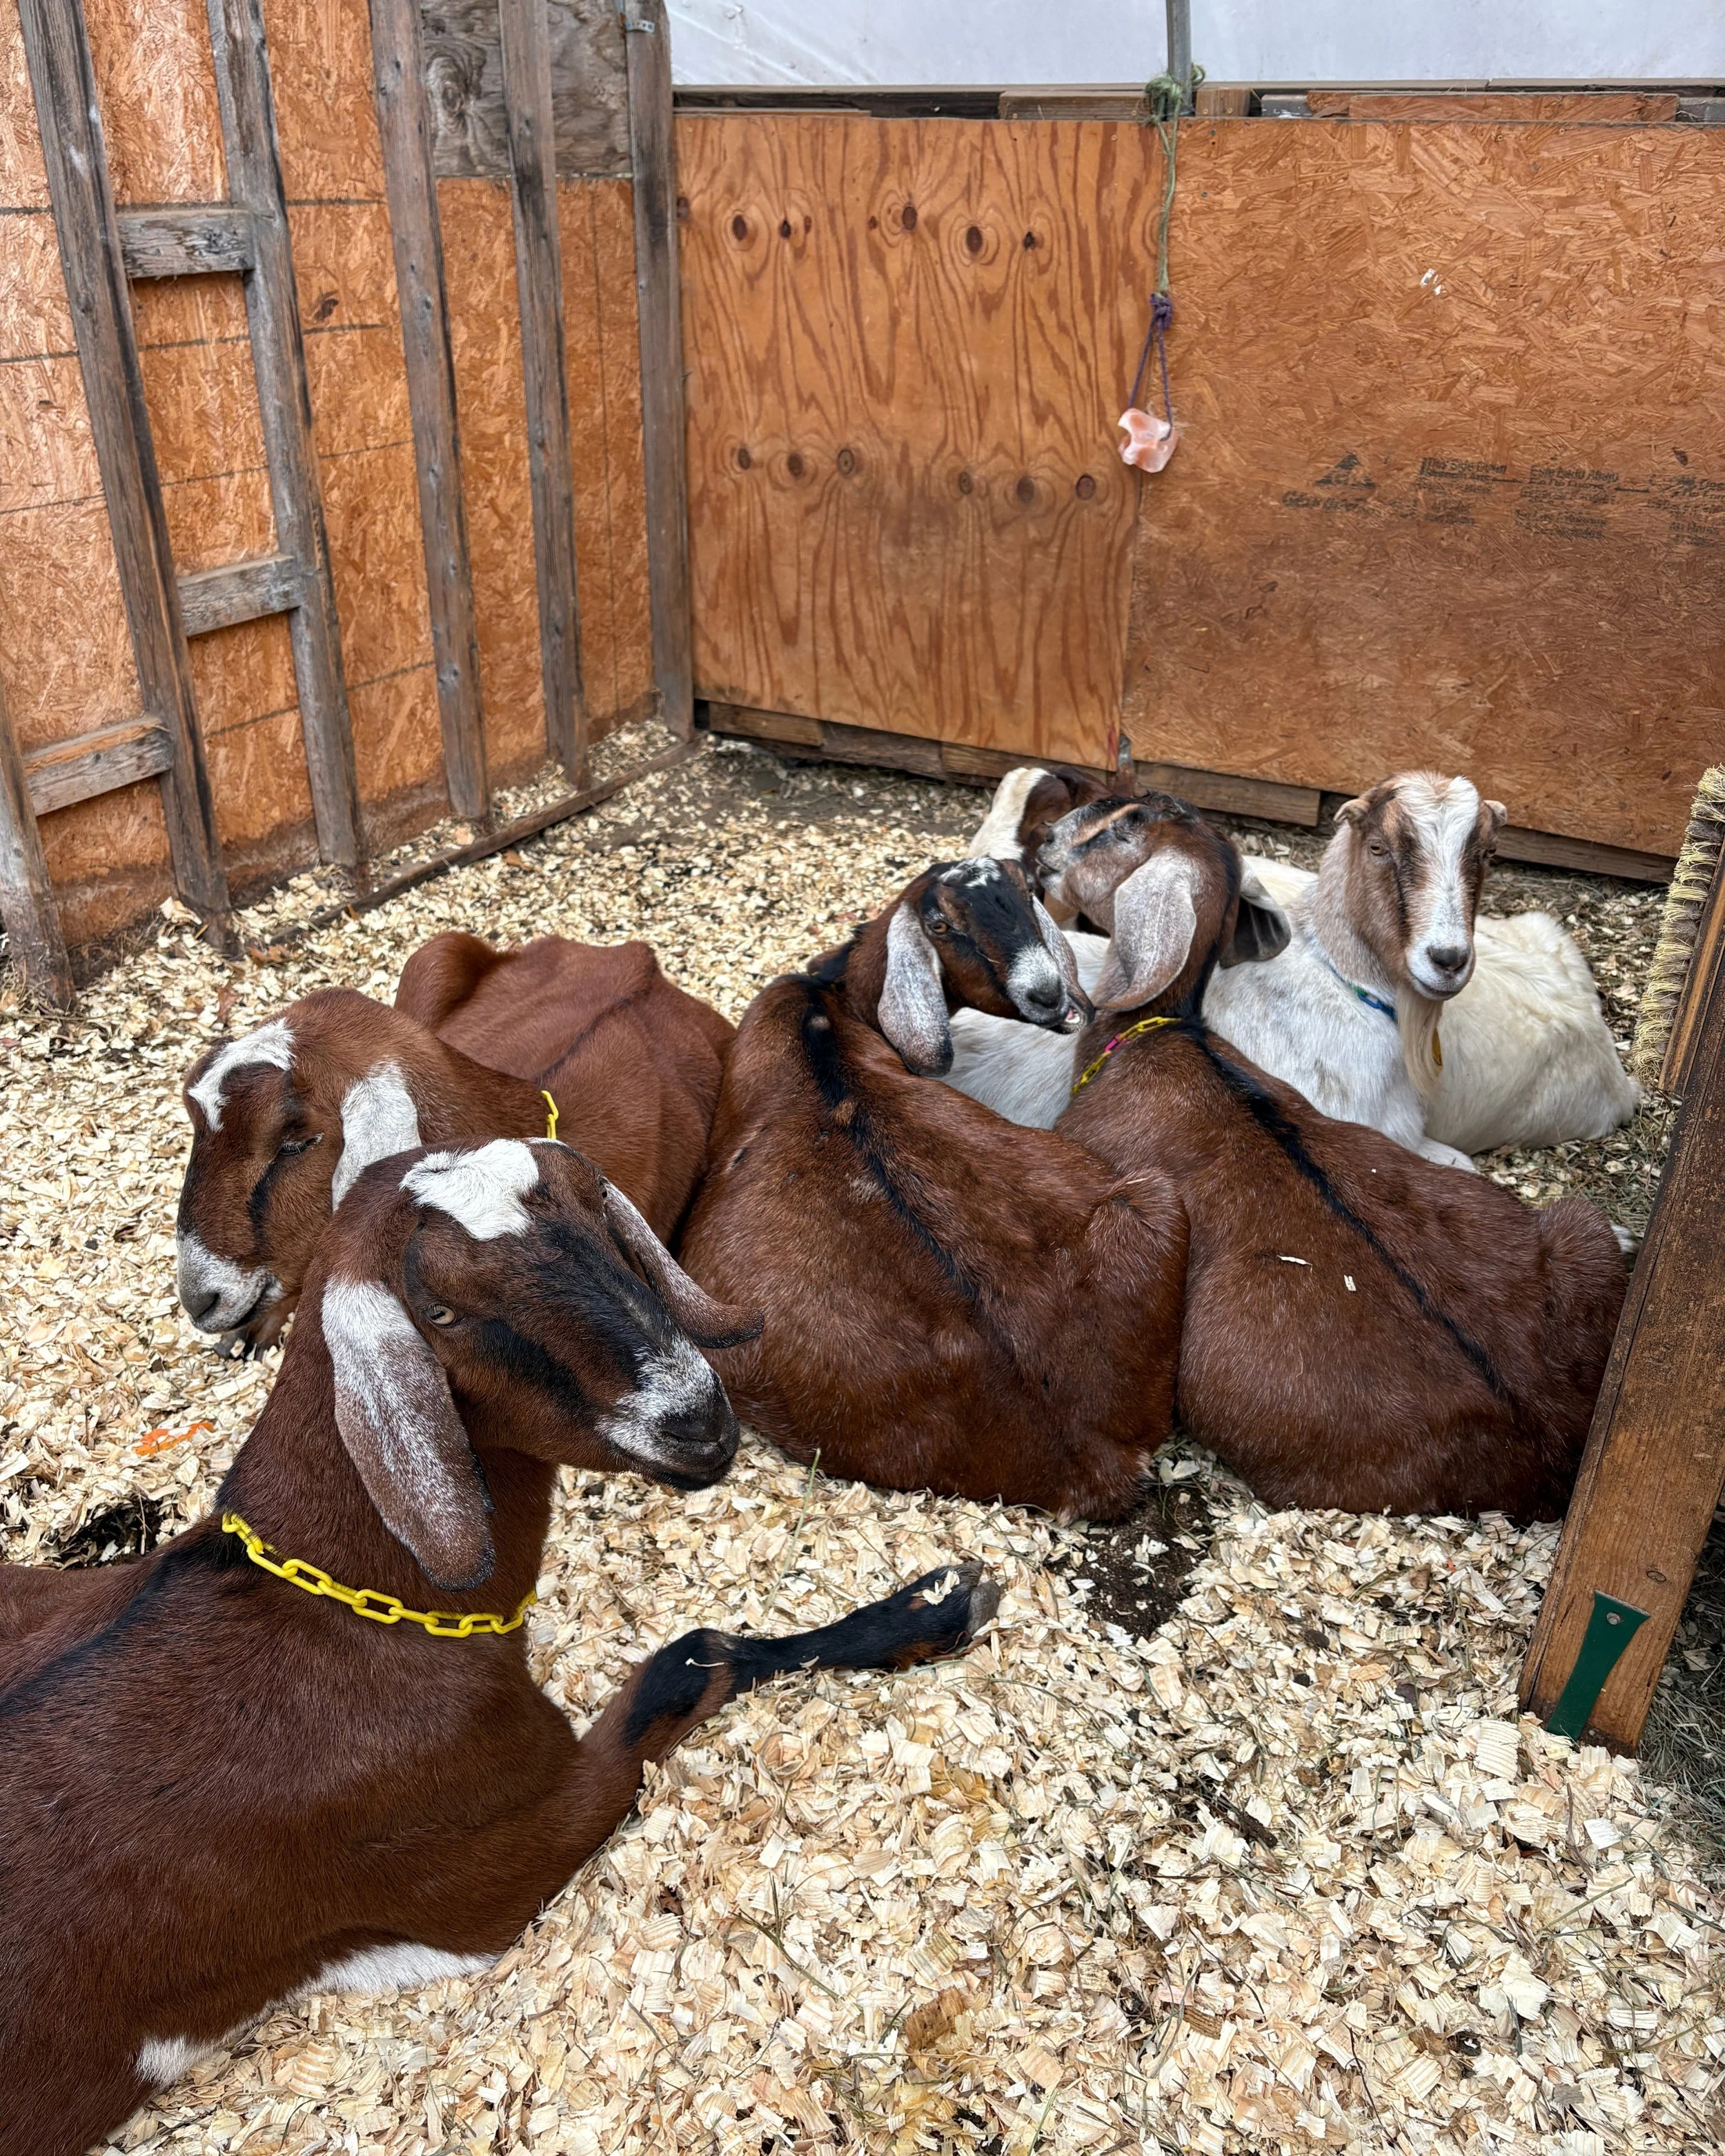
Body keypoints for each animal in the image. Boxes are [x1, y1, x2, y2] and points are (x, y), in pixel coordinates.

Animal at [0, 1138, 998, 2156]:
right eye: (442, 1311)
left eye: (601, 1215)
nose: (696, 1419)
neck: (342, 1606)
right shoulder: (489, 1868)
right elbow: (691, 1662)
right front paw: (933, 1611)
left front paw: (928, 1601)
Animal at [678, 859, 1191, 1519]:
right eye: (942, 924)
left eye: (1026, 891)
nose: (1048, 993)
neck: (827, 1008)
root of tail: (1093, 1456)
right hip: (1152, 1197)